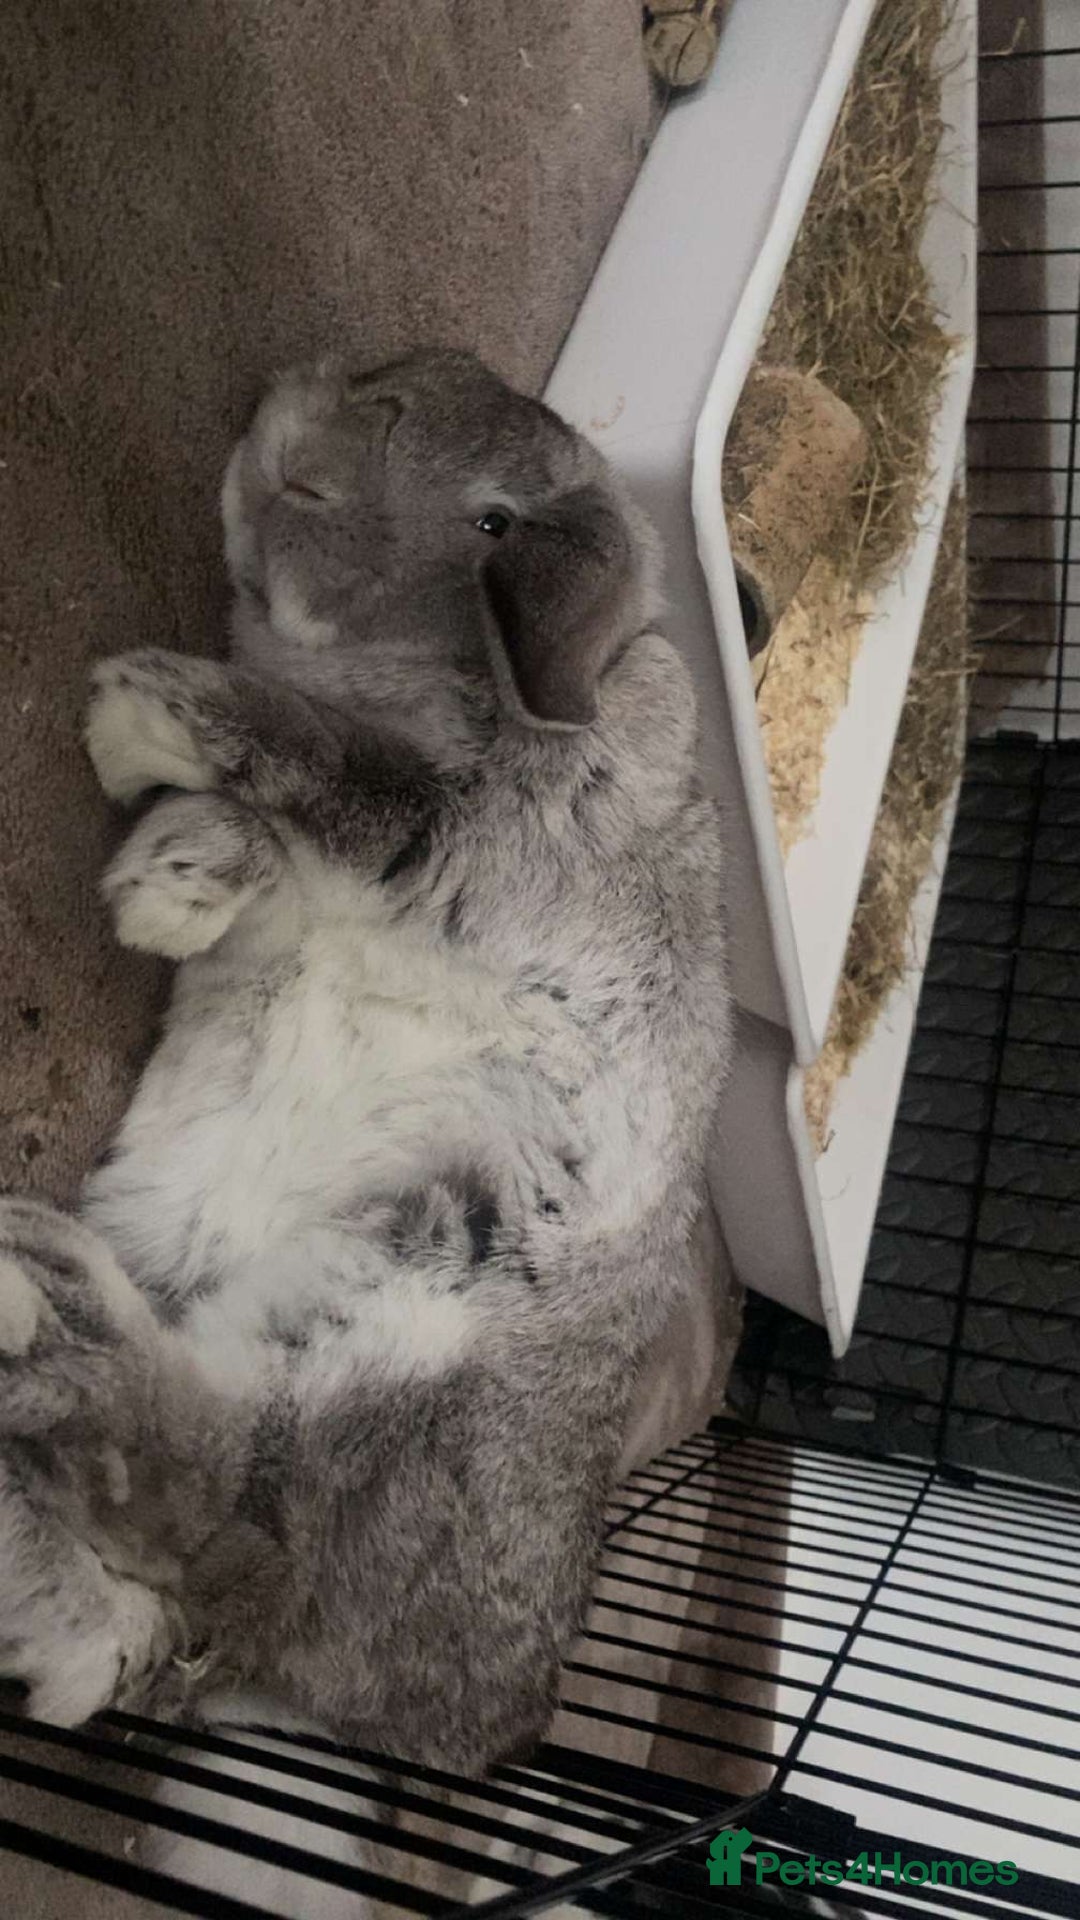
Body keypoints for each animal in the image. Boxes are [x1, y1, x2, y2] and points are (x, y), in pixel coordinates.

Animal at [0, 350, 731, 1798]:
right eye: (392, 377)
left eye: (499, 523)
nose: (293, 454)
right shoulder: (321, 903)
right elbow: (267, 847)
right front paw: (166, 880)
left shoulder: (455, 834)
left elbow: (333, 767)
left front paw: (138, 714)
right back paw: (41, 1596)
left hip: (406, 1325)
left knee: (208, 1493)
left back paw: (47, 1307)